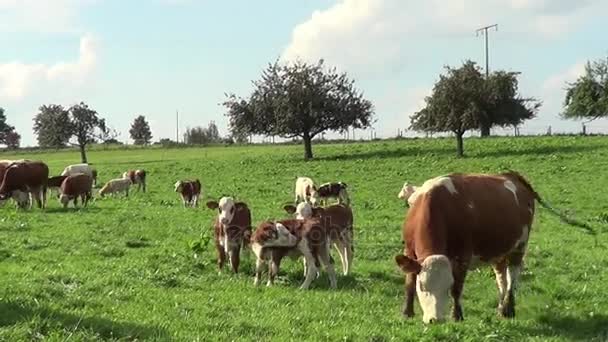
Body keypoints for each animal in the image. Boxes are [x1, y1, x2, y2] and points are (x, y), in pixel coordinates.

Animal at [392, 172, 592, 324]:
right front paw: (407, 313)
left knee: (513, 276)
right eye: (422, 286)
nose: (436, 320)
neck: (436, 205)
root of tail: (511, 176)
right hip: (499, 253)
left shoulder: (462, 257)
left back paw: (508, 309)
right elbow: (409, 282)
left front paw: (457, 316)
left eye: (447, 286)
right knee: (501, 278)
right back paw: (500, 307)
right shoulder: (409, 251)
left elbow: (457, 289)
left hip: (519, 246)